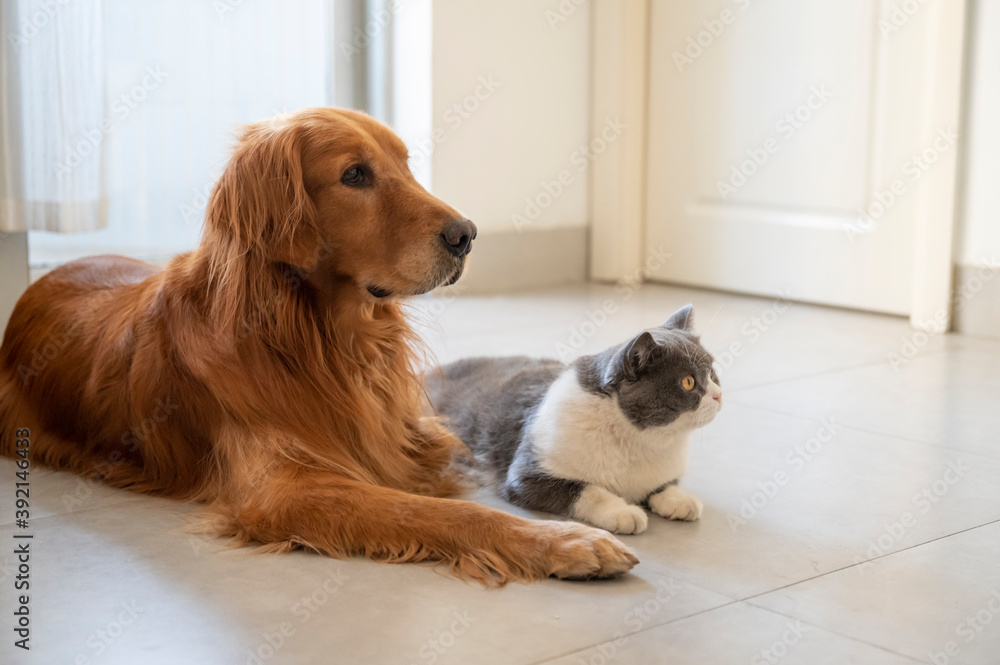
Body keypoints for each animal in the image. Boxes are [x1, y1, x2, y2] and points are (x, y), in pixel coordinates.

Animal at [426, 304, 724, 536]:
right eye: (688, 382)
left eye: (712, 373)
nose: (719, 394)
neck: (641, 439)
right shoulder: (525, 477)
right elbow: (586, 489)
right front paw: (622, 512)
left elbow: (663, 483)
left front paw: (677, 498)